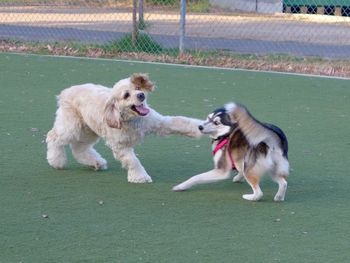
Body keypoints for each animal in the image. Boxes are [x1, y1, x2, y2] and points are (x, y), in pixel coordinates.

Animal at [45, 73, 202, 183]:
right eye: (126, 95)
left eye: (137, 88)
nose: (141, 95)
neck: (133, 120)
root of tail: (66, 91)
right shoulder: (120, 146)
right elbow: (133, 161)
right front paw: (140, 177)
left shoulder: (160, 123)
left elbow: (181, 122)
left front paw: (200, 127)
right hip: (71, 126)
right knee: (53, 137)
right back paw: (56, 161)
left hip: (89, 130)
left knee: (79, 148)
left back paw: (96, 162)